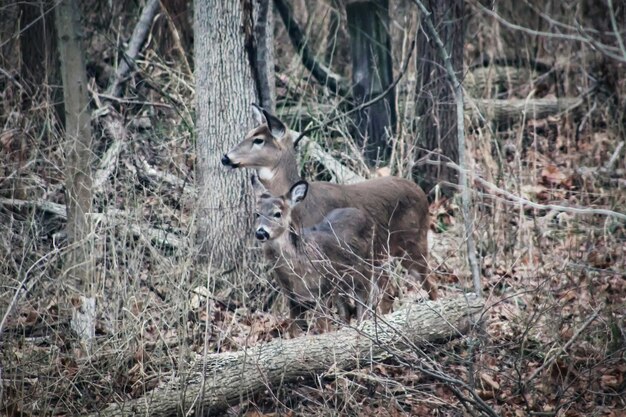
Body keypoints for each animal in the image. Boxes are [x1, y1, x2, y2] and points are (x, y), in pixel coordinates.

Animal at [222, 105, 436, 300]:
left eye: (258, 140)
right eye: (248, 134)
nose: (225, 157)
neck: (302, 209)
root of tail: (422, 193)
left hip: (415, 242)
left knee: (430, 284)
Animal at [252, 176, 378, 334]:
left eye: (277, 213)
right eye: (256, 213)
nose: (261, 232)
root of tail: (363, 214)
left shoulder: (322, 291)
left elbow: (323, 328)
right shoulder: (292, 298)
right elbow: (294, 332)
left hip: (365, 269)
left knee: (363, 305)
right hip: (340, 284)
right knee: (345, 311)